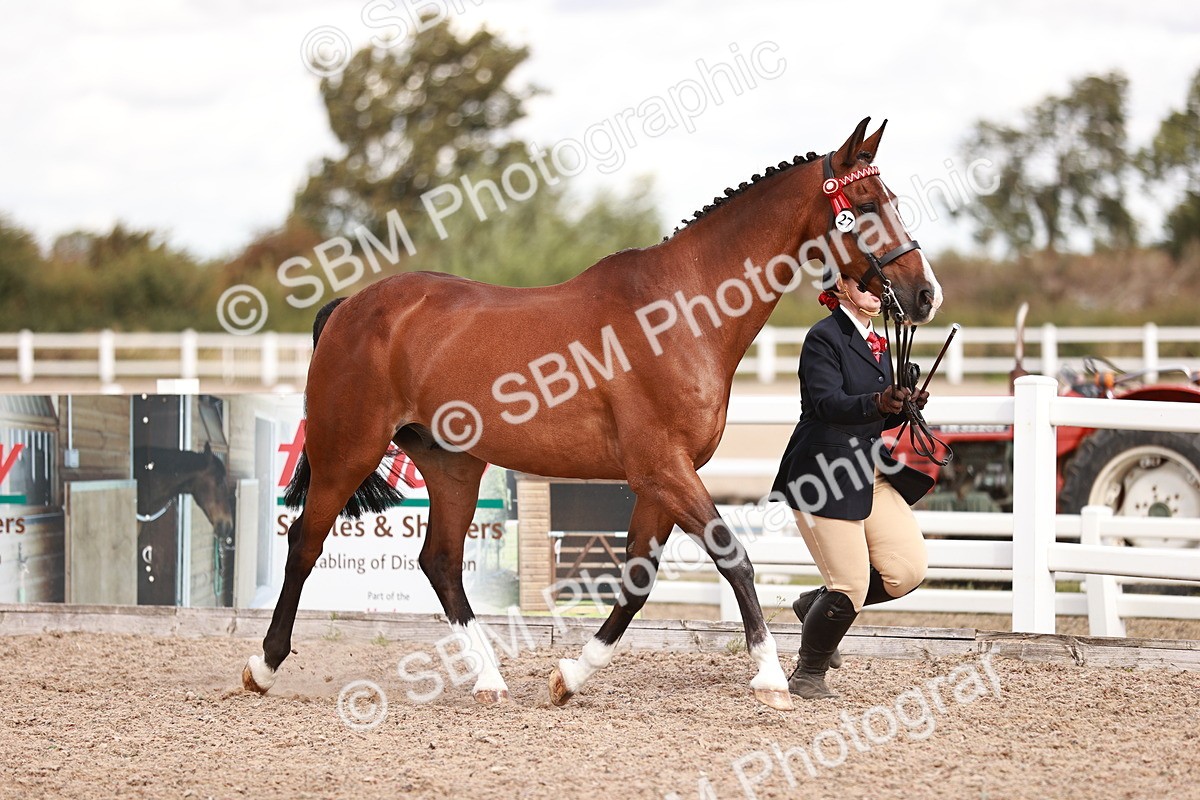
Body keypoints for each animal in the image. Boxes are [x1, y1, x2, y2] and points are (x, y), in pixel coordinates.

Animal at [242, 117, 943, 711]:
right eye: (869, 206)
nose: (924, 294)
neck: (679, 312)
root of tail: (351, 306)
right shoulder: (662, 470)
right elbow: (732, 556)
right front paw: (770, 677)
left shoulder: (661, 481)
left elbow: (635, 580)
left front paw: (569, 677)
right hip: (348, 450)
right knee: (306, 540)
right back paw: (264, 666)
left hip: (452, 465)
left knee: (439, 562)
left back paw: (491, 681)